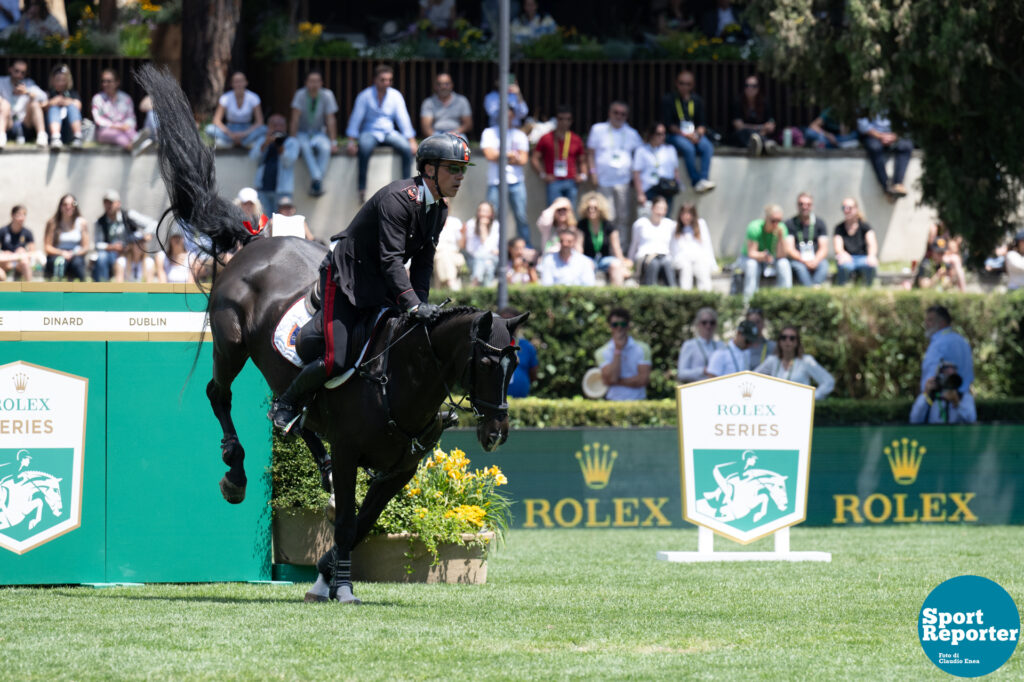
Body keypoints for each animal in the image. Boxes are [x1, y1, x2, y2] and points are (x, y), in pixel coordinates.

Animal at [138, 66, 528, 602]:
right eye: (487, 362)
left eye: (515, 365)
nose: (496, 433)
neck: (403, 378)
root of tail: (254, 244)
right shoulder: (350, 454)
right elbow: (345, 523)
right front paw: (338, 586)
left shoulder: (400, 468)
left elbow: (363, 524)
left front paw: (324, 573)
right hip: (232, 342)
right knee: (221, 394)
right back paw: (235, 475)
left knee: (295, 411)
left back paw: (299, 442)